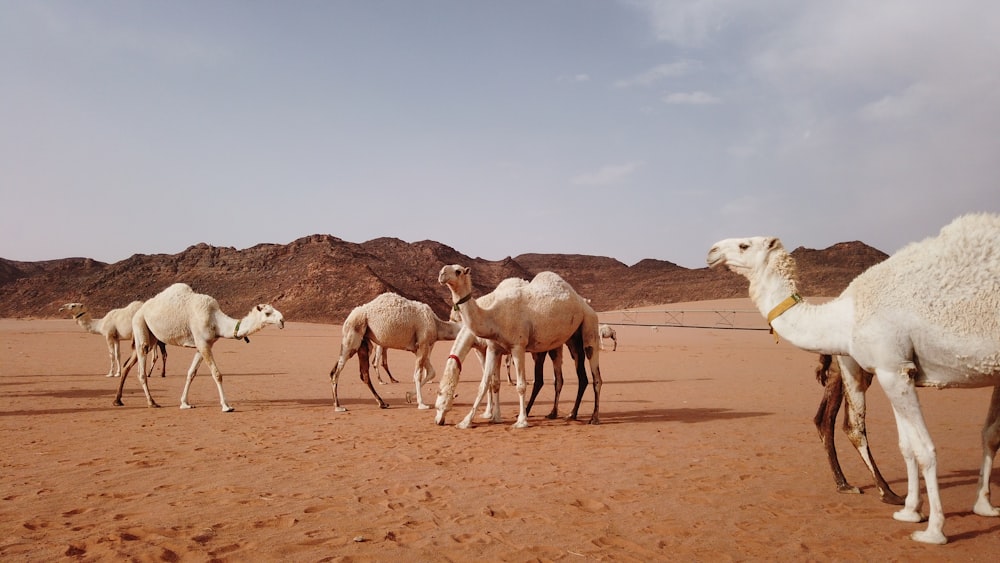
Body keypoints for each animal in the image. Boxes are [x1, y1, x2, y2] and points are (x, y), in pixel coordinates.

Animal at [123, 284, 286, 412]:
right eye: (267, 313)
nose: (282, 320)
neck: (216, 320)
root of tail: (140, 310)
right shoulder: (202, 343)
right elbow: (217, 374)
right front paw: (226, 406)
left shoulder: (203, 345)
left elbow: (191, 373)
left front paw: (185, 403)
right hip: (140, 324)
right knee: (141, 369)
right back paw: (151, 402)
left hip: (151, 336)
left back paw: (121, 400)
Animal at [332, 294, 464, 412]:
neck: (437, 325)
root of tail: (349, 316)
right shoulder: (423, 343)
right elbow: (418, 374)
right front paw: (421, 404)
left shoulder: (418, 348)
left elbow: (432, 372)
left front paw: (408, 396)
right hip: (352, 336)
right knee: (336, 371)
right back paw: (338, 406)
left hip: (364, 343)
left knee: (363, 374)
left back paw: (382, 403)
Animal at [436, 266, 600, 430]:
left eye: (458, 271)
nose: (441, 274)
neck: (493, 316)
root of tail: (584, 303)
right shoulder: (493, 348)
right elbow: (486, 384)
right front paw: (467, 422)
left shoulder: (517, 346)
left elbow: (520, 385)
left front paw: (521, 422)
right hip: (567, 340)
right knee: (573, 377)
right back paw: (565, 414)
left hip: (590, 323)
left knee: (594, 373)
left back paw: (593, 418)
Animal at [708, 214, 1000, 544]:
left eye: (744, 245)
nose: (712, 250)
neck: (847, 314)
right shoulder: (895, 368)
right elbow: (918, 445)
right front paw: (919, 511)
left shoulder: (893, 367)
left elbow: (927, 447)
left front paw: (934, 528)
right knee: (841, 422)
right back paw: (869, 489)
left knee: (844, 423)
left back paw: (876, 490)